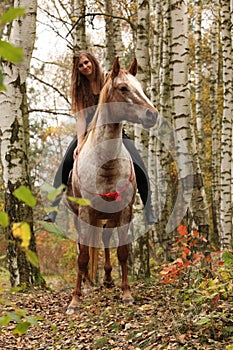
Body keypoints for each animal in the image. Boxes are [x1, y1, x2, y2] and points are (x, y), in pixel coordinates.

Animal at [64, 57, 157, 314]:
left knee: (105, 241)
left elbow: (122, 252)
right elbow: (83, 256)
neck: (104, 163)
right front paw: (75, 299)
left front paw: (126, 293)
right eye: (123, 88)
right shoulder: (85, 213)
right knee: (84, 247)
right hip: (81, 217)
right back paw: (87, 285)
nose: (152, 115)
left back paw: (106, 279)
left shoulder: (124, 211)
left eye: (140, 87)